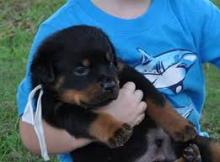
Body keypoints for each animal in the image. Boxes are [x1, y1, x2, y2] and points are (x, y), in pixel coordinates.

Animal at [30, 25, 220, 162]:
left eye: (109, 62)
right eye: (81, 70)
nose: (110, 84)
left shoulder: (129, 75)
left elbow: (158, 101)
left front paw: (180, 125)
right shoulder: (56, 109)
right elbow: (88, 118)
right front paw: (115, 130)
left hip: (196, 143)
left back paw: (192, 155)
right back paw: (191, 157)